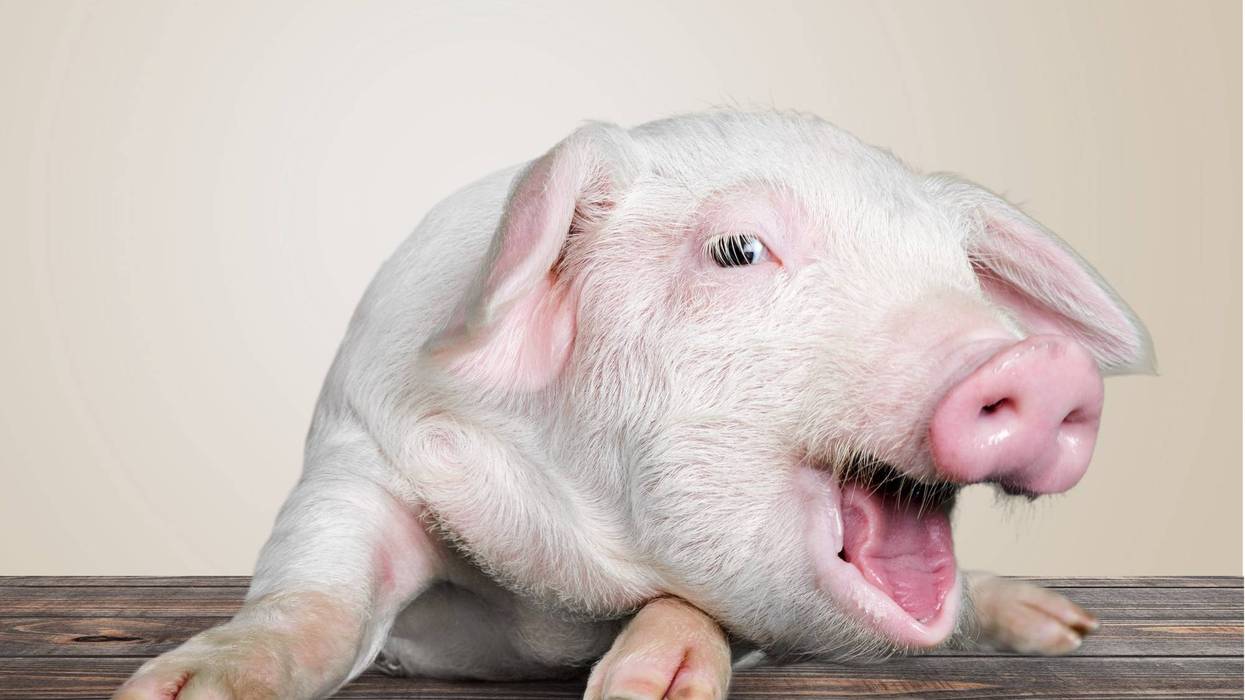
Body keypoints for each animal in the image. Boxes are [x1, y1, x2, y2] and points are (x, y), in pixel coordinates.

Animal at [115, 110, 1152, 700]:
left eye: (956, 273)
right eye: (737, 250)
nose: (1044, 364)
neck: (555, 592)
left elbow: (697, 603)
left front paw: (641, 689)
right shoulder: (359, 449)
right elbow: (315, 588)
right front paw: (178, 691)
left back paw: (1064, 627)